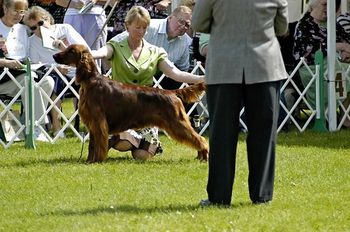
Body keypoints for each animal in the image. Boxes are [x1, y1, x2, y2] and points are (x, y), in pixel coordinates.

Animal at [52, 44, 208, 162]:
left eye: (71, 50)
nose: (54, 56)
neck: (90, 81)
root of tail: (172, 93)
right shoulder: (92, 124)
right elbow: (92, 145)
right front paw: (89, 161)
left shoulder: (98, 122)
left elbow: (98, 145)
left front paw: (97, 161)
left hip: (177, 122)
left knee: (200, 139)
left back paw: (204, 156)